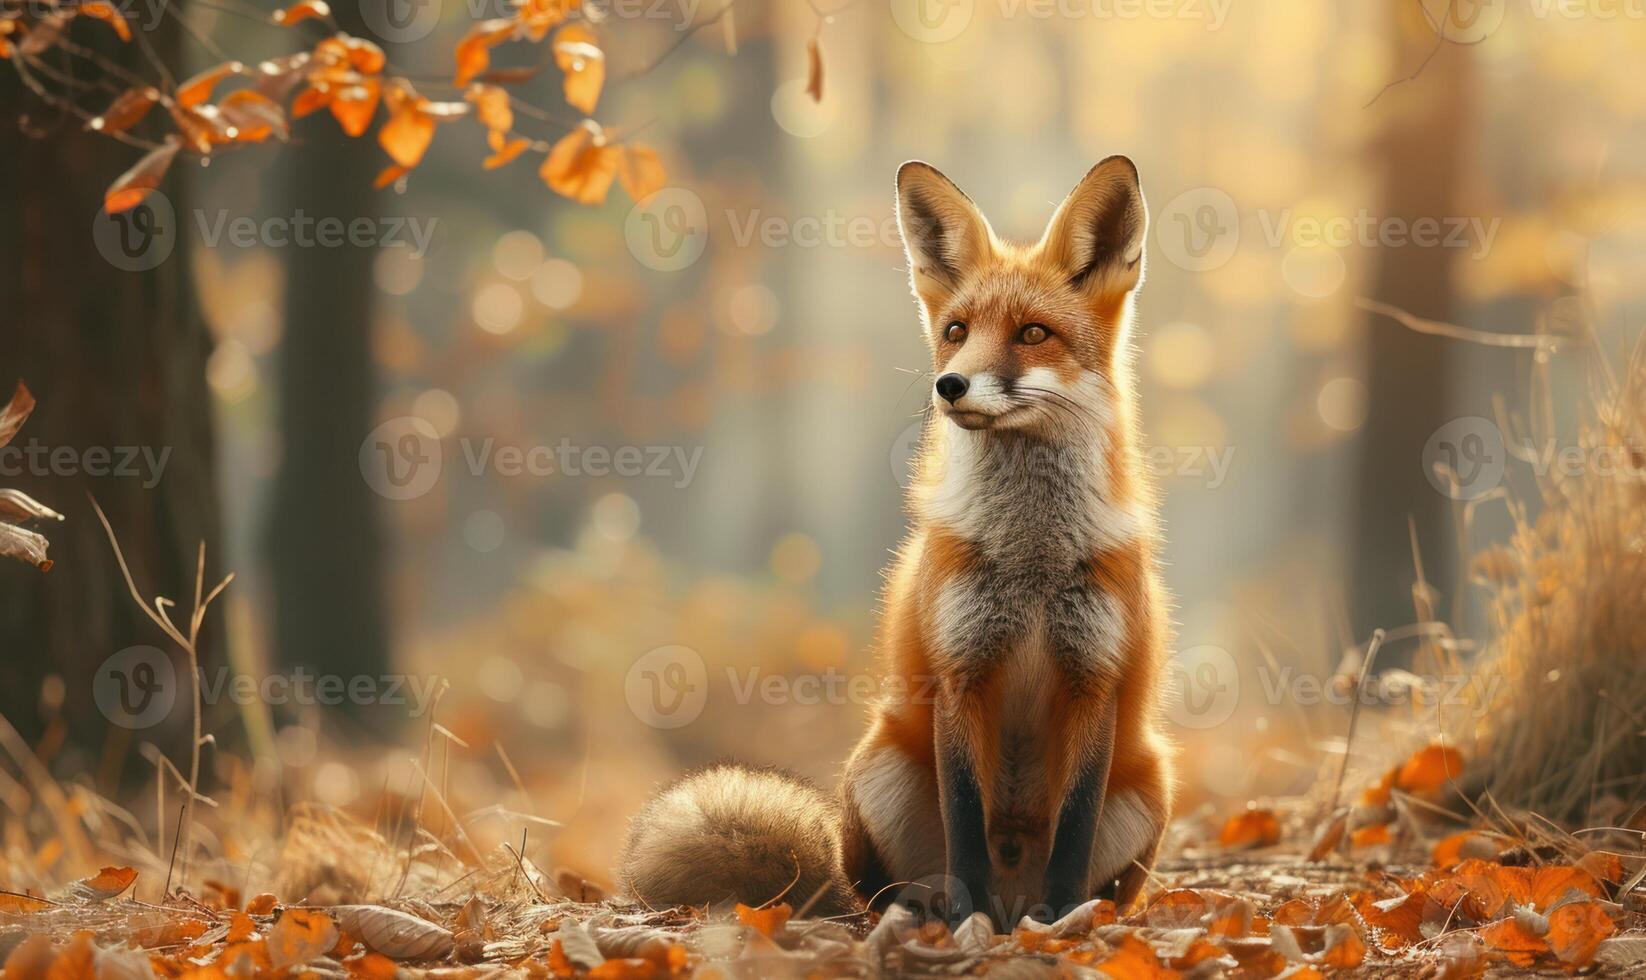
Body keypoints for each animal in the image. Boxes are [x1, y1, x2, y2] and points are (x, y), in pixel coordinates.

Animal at [618, 158, 1171, 928]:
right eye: (956, 330)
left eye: (1032, 333)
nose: (950, 384)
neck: (1030, 556)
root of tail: (1015, 887)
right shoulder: (960, 673)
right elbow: (965, 818)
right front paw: (967, 917)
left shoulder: (1094, 679)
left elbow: (1074, 828)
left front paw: (1059, 923)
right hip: (879, 767)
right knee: (878, 892)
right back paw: (933, 912)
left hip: (1151, 781)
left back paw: (1059, 915)